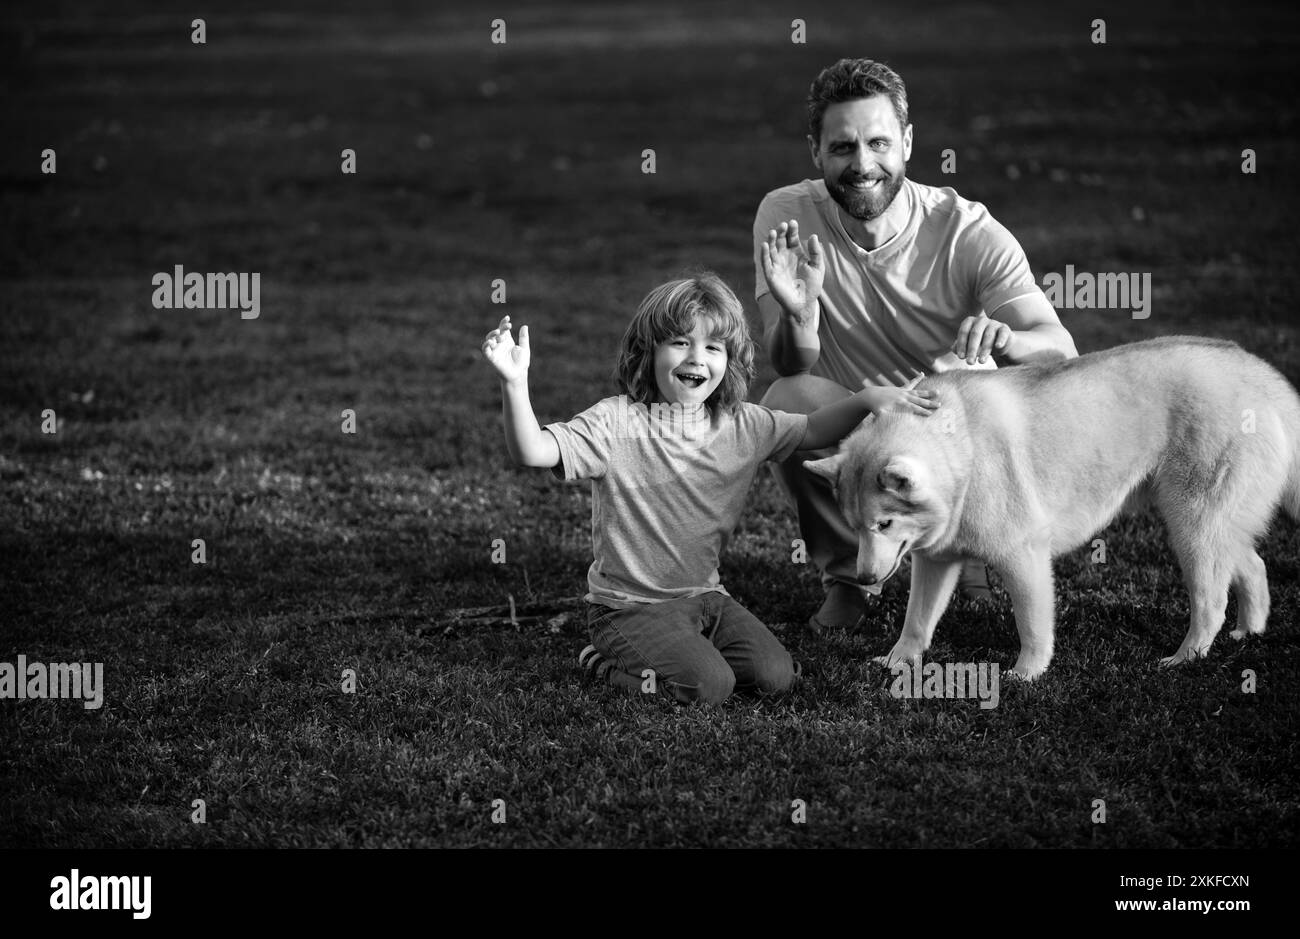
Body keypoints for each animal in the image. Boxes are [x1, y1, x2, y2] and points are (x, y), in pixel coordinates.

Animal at [806, 340, 1294, 676]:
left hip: (1192, 525)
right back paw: (1248, 632)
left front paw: (1028, 673)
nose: (864, 577)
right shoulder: (935, 560)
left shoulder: (1023, 557)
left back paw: (1186, 656)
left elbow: (1032, 625)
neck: (961, 450)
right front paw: (898, 660)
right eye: (855, 526)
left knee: (1212, 600)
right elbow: (916, 621)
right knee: (1253, 566)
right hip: (1208, 523)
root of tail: (1262, 372)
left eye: (885, 523)